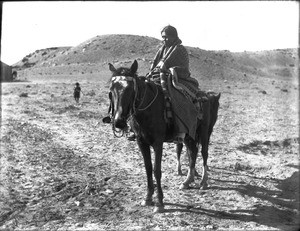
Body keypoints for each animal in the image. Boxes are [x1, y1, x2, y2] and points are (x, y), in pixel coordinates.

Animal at [105, 60, 220, 213]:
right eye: (111, 90)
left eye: (130, 89)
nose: (118, 122)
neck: (147, 110)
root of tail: (205, 95)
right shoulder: (141, 142)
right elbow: (148, 169)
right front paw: (148, 197)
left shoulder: (158, 143)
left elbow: (156, 170)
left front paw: (159, 203)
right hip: (189, 134)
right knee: (193, 152)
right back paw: (187, 181)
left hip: (204, 131)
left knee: (204, 153)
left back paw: (203, 182)